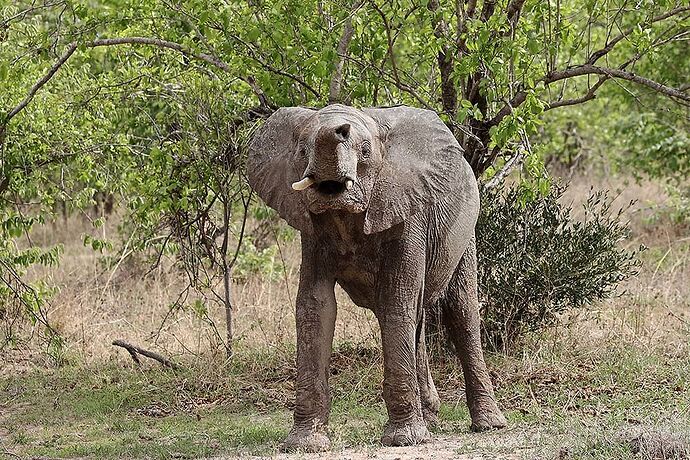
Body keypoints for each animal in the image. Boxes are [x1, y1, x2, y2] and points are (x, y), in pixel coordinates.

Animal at [247, 103, 506, 450]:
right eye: (301, 150)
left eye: (366, 150)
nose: (338, 129)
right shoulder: (311, 230)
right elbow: (316, 307)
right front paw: (304, 444)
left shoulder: (408, 212)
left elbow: (397, 299)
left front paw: (403, 440)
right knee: (417, 317)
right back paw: (430, 419)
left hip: (465, 231)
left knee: (460, 311)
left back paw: (488, 425)